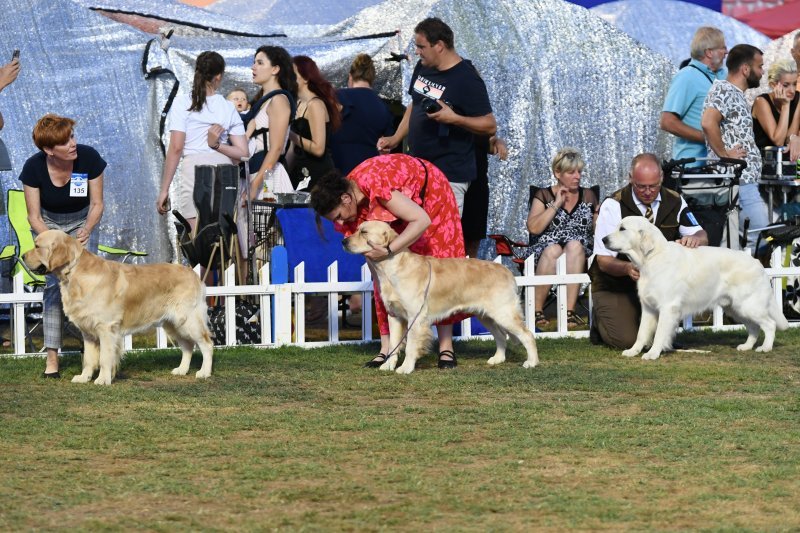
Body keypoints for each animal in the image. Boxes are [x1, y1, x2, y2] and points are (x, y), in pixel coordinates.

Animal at [24, 229, 212, 382]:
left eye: (37, 246)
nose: (22, 257)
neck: (75, 274)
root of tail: (192, 273)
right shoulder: (88, 332)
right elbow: (89, 359)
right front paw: (84, 377)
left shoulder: (106, 328)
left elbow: (104, 358)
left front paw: (103, 379)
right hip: (172, 323)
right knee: (187, 346)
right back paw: (182, 370)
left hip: (188, 320)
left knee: (206, 344)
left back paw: (204, 372)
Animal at [342, 220, 536, 374]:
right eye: (357, 229)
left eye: (364, 232)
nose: (343, 241)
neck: (392, 267)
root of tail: (507, 271)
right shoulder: (394, 316)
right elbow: (393, 344)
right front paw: (388, 365)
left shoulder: (415, 317)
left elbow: (410, 345)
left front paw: (405, 368)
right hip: (486, 315)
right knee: (501, 336)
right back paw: (497, 359)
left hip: (503, 313)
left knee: (528, 335)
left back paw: (532, 362)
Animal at [608, 214, 788, 360]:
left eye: (622, 228)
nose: (603, 239)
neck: (652, 258)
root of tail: (757, 262)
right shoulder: (648, 307)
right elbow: (641, 333)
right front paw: (633, 351)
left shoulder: (668, 307)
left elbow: (659, 334)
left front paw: (652, 353)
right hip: (735, 308)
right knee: (754, 327)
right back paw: (747, 346)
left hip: (748, 305)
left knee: (769, 324)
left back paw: (765, 347)